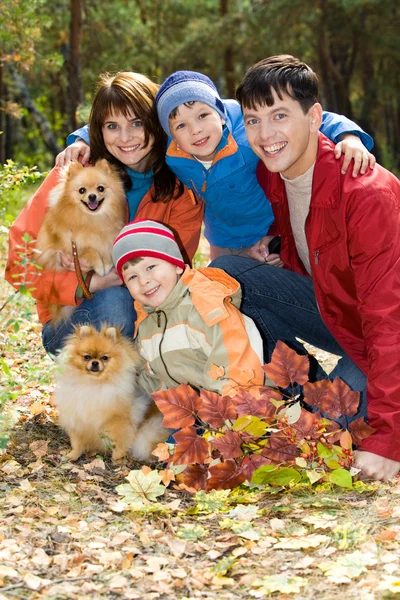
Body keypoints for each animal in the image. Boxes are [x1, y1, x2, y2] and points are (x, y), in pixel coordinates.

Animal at [37, 157, 126, 322]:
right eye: (82, 190)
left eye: (100, 189)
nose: (92, 196)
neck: (91, 219)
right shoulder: (68, 248)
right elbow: (91, 251)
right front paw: (100, 267)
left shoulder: (108, 238)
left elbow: (107, 250)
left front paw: (107, 263)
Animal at [54, 326, 170, 462]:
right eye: (87, 357)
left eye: (104, 358)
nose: (95, 362)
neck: (93, 384)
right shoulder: (77, 421)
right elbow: (77, 443)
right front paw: (72, 455)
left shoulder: (118, 422)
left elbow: (118, 442)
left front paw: (117, 459)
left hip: (145, 436)